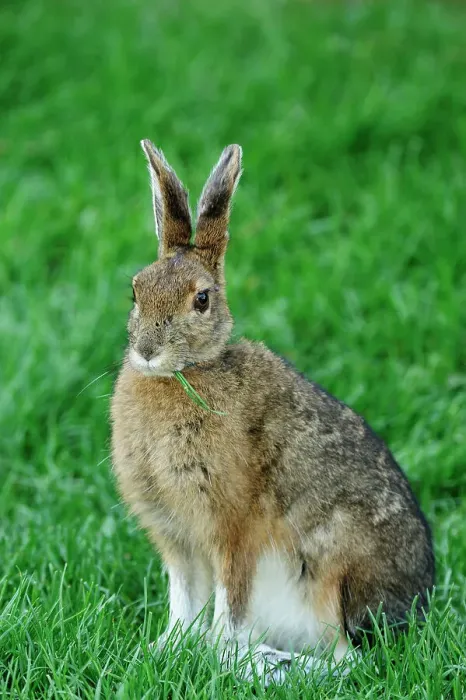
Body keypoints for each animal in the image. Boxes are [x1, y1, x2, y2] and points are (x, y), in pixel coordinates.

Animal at [111, 140, 435, 683]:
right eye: (136, 290)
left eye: (202, 300)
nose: (148, 352)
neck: (187, 373)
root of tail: (412, 606)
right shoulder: (177, 537)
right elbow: (183, 601)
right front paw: (165, 650)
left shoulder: (233, 525)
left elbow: (228, 604)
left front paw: (220, 656)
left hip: (327, 573)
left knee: (347, 659)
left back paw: (268, 664)